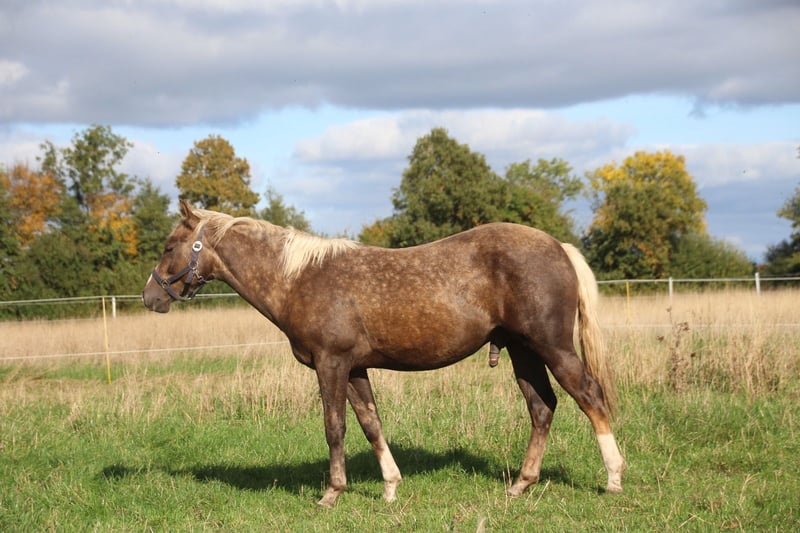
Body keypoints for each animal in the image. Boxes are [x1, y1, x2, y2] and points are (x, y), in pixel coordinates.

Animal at [142, 200, 625, 507]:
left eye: (168, 247)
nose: (151, 297)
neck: (298, 278)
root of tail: (559, 247)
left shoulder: (331, 364)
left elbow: (335, 427)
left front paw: (331, 494)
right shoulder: (355, 368)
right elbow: (371, 424)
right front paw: (391, 488)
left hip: (552, 347)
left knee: (590, 397)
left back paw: (613, 479)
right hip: (523, 353)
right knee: (542, 408)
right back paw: (520, 486)